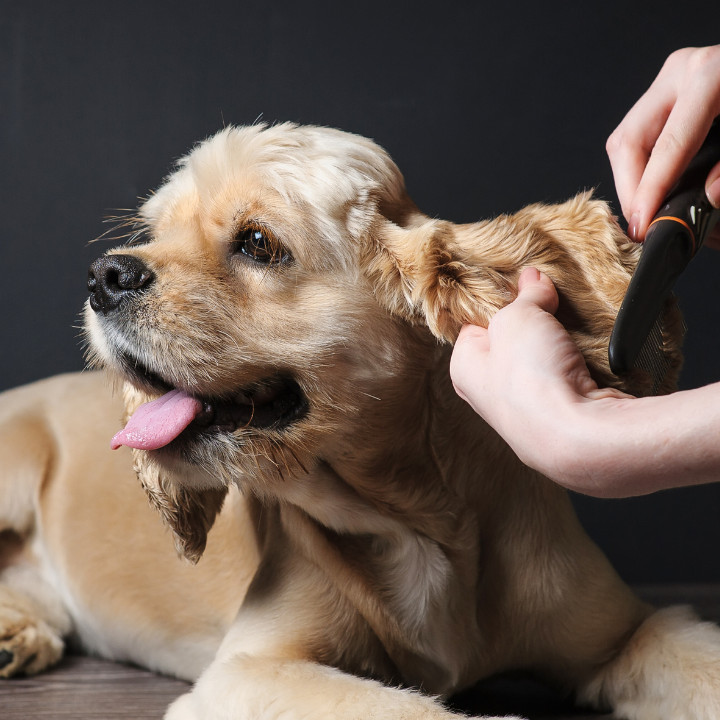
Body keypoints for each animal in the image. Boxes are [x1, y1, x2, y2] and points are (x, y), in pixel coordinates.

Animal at [1, 124, 720, 720]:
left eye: (258, 242)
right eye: (152, 232)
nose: (103, 275)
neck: (419, 524)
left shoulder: (627, 632)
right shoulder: (248, 672)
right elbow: (413, 710)